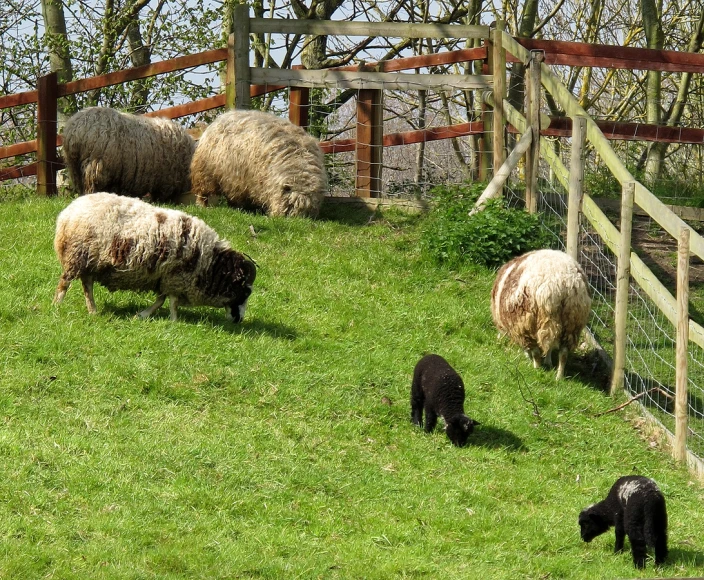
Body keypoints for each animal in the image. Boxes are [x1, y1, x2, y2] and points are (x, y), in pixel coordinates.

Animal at [53, 194, 256, 322]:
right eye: (245, 291)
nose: (239, 320)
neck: (209, 264)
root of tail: (67, 212)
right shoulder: (176, 277)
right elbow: (172, 302)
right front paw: (174, 321)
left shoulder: (163, 278)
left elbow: (161, 300)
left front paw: (142, 315)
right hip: (76, 256)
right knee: (65, 282)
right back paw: (57, 306)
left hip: (89, 262)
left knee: (87, 285)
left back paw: (93, 311)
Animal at [188, 109, 328, 218]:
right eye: (289, 204)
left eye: (308, 210)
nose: (295, 220)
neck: (297, 161)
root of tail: (218, 120)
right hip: (205, 172)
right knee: (203, 192)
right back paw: (203, 206)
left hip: (230, 177)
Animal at [492, 249, 592, 380]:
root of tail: (562, 282)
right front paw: (548, 362)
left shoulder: (518, 327)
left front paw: (528, 356)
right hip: (572, 320)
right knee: (563, 352)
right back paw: (559, 376)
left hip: (528, 321)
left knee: (536, 350)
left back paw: (536, 367)